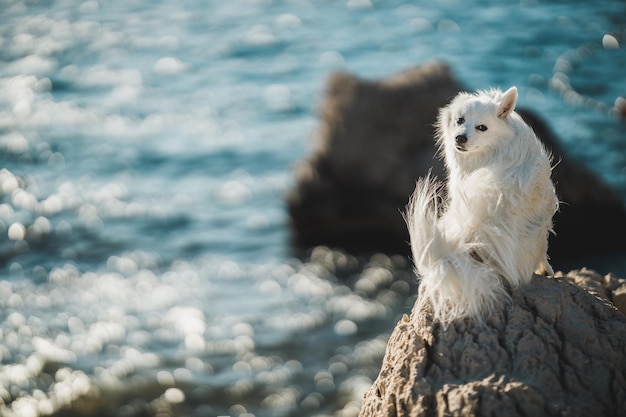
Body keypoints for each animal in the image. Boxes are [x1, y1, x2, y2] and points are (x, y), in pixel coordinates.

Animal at [404, 86, 556, 324]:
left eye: (482, 127)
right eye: (460, 120)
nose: (460, 137)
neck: (497, 148)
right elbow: (545, 247)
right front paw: (547, 269)